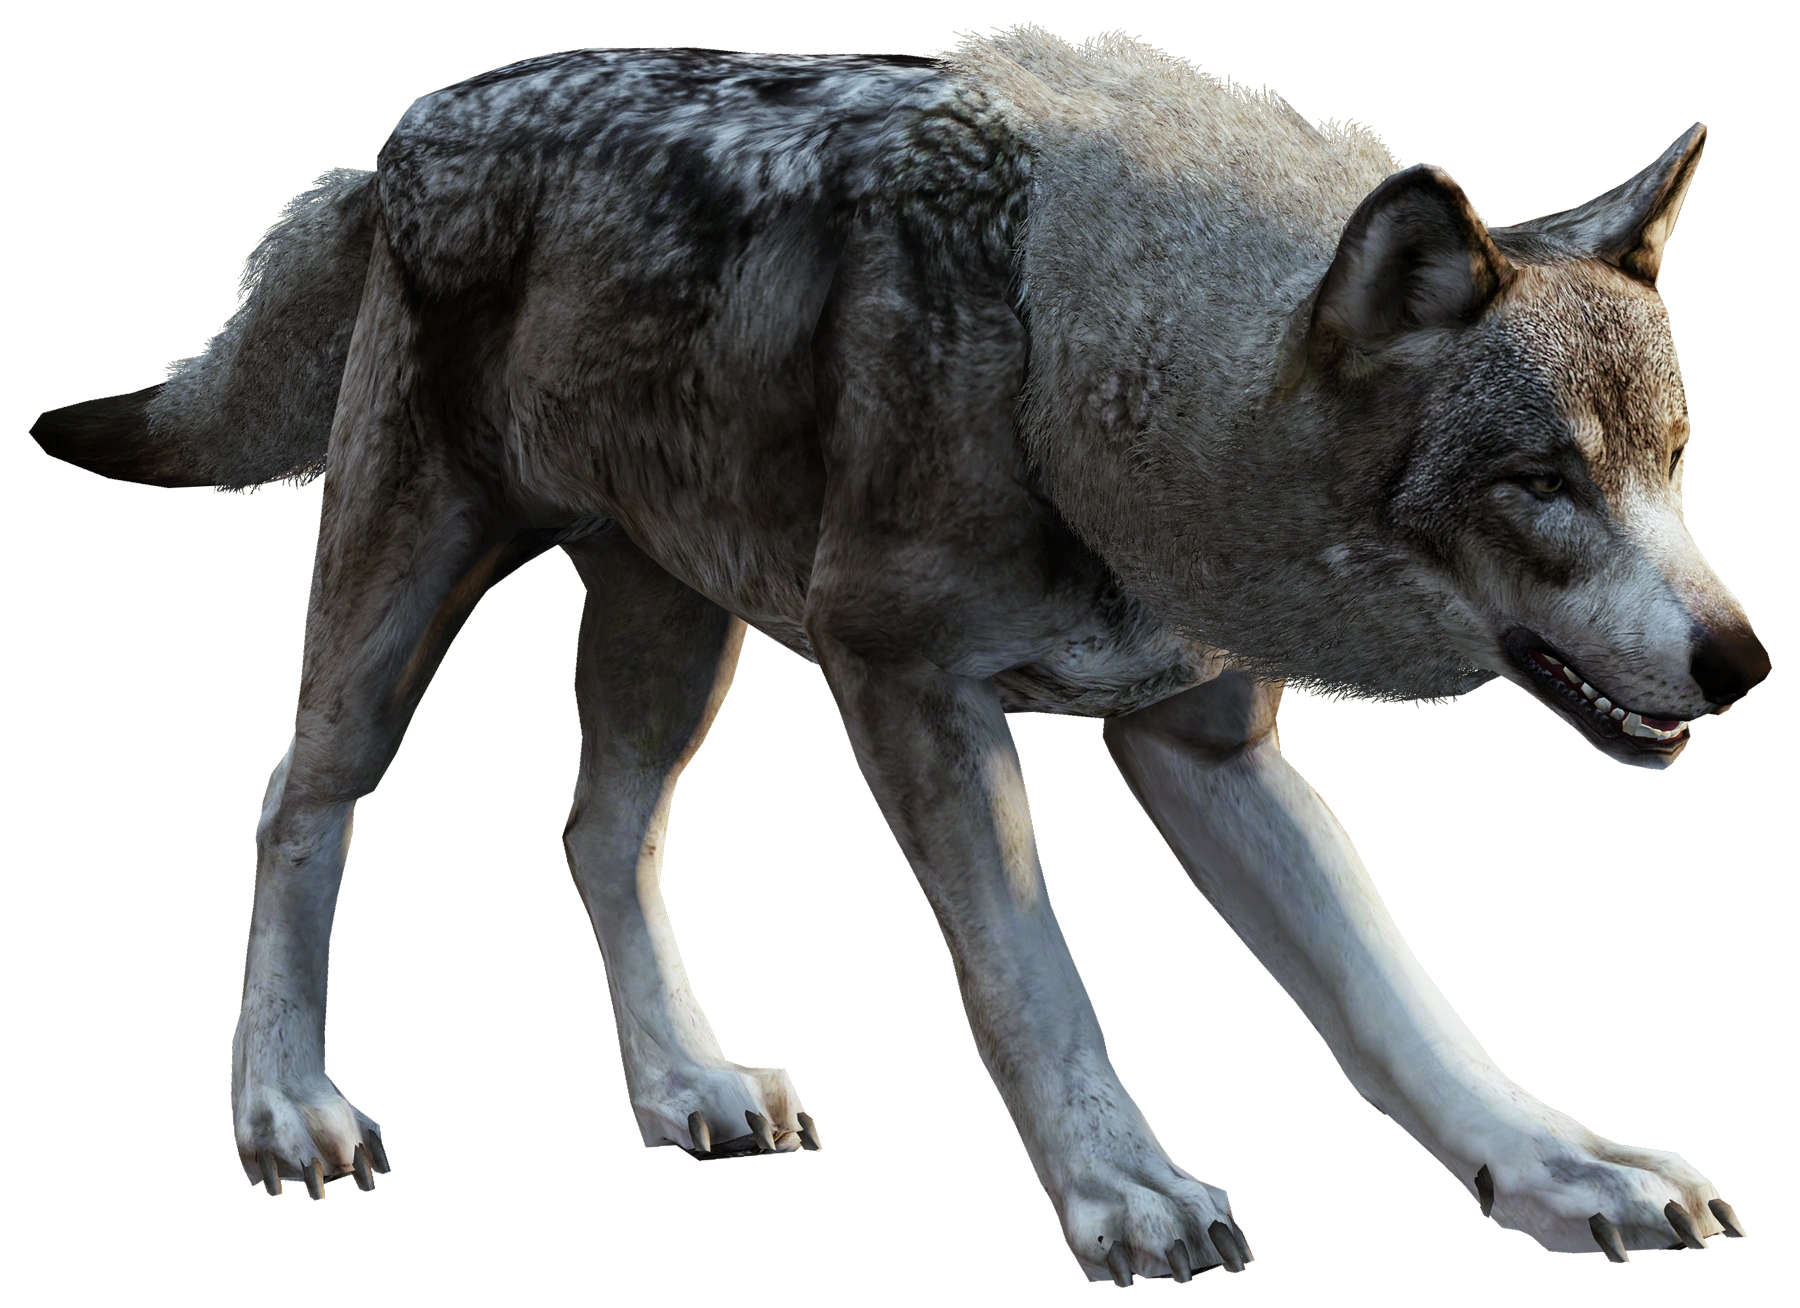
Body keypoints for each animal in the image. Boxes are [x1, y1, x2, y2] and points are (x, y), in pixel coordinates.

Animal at [28, 32, 1770, 1284]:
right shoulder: (908, 689)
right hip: (405, 595)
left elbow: (1398, 997)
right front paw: (1126, 1191)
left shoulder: (1206, 739)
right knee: (295, 799)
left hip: (677, 629)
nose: (1747, 659)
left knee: (596, 828)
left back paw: (684, 1091)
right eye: (1538, 482)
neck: (1091, 375)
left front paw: (1560, 1165)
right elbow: (1031, 978)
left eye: (1675, 462)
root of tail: (402, 132)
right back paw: (287, 1110)